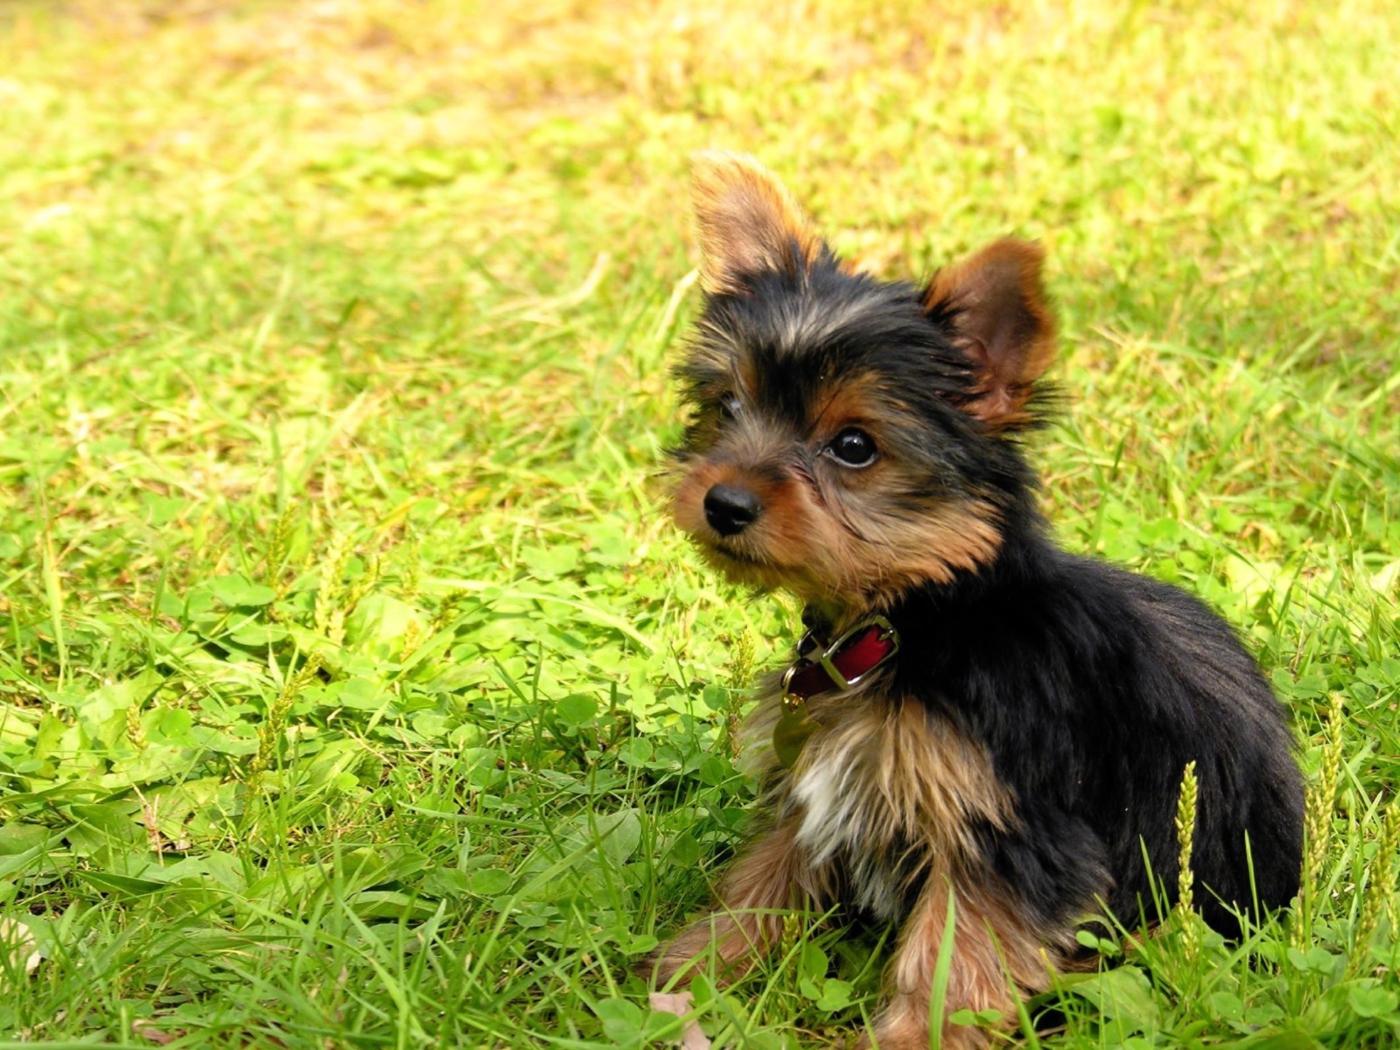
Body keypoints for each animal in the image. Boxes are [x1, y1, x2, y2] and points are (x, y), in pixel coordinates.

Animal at [649, 151, 1304, 1047]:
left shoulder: (1010, 830)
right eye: (728, 406)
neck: (915, 621)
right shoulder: (814, 789)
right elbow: (764, 877)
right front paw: (691, 970)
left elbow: (955, 956)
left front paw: (915, 1037)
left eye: (853, 447)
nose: (724, 503)